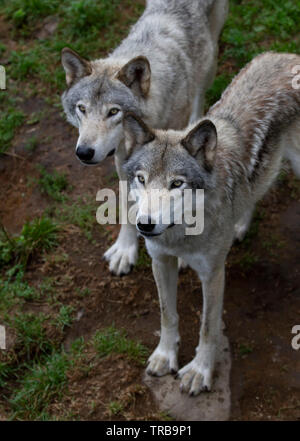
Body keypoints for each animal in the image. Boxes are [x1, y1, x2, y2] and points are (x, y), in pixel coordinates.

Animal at [61, 0, 230, 276]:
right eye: (81, 109)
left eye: (113, 112)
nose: (84, 152)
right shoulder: (126, 161)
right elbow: (128, 205)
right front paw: (125, 250)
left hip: (209, 59)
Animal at [121, 52, 300, 396]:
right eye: (141, 179)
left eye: (177, 184)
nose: (145, 225)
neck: (181, 235)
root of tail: (287, 55)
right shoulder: (160, 260)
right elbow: (167, 314)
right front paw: (165, 356)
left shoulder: (214, 274)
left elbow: (208, 328)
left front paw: (200, 372)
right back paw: (239, 226)